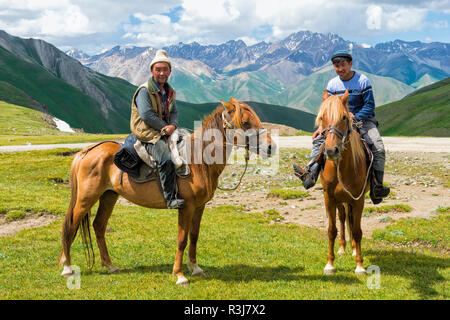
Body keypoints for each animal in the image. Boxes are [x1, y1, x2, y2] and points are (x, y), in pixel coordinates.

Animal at [58, 97, 276, 284]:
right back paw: (67, 267)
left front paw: (195, 268)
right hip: (86, 198)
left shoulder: (200, 207)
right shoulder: (186, 207)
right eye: (245, 122)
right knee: (70, 225)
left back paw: (110, 265)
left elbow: (194, 236)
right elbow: (182, 239)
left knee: (99, 226)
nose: (271, 148)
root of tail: (85, 152)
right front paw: (179, 275)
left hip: (108, 196)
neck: (198, 160)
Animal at [316, 89, 370, 276]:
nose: (331, 150)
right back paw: (342, 248)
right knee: (342, 217)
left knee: (351, 220)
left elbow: (358, 230)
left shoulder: (358, 199)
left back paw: (353, 249)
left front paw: (360, 265)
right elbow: (332, 230)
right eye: (322, 117)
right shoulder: (329, 198)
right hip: (340, 201)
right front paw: (329, 264)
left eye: (344, 117)